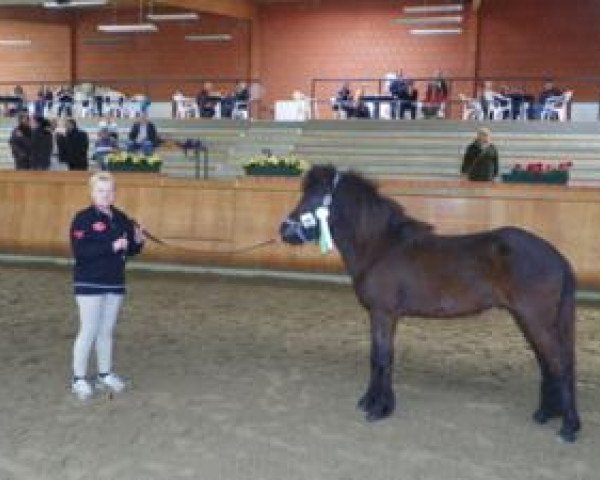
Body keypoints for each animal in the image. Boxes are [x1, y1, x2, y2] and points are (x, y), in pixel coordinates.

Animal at [282, 164, 580, 442]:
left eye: (315, 197)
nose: (284, 230)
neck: (381, 246)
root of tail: (557, 256)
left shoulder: (384, 314)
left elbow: (383, 358)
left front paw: (380, 408)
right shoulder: (377, 315)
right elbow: (375, 357)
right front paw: (370, 401)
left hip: (535, 320)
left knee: (560, 364)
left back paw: (569, 427)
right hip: (528, 320)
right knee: (547, 363)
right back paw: (545, 414)